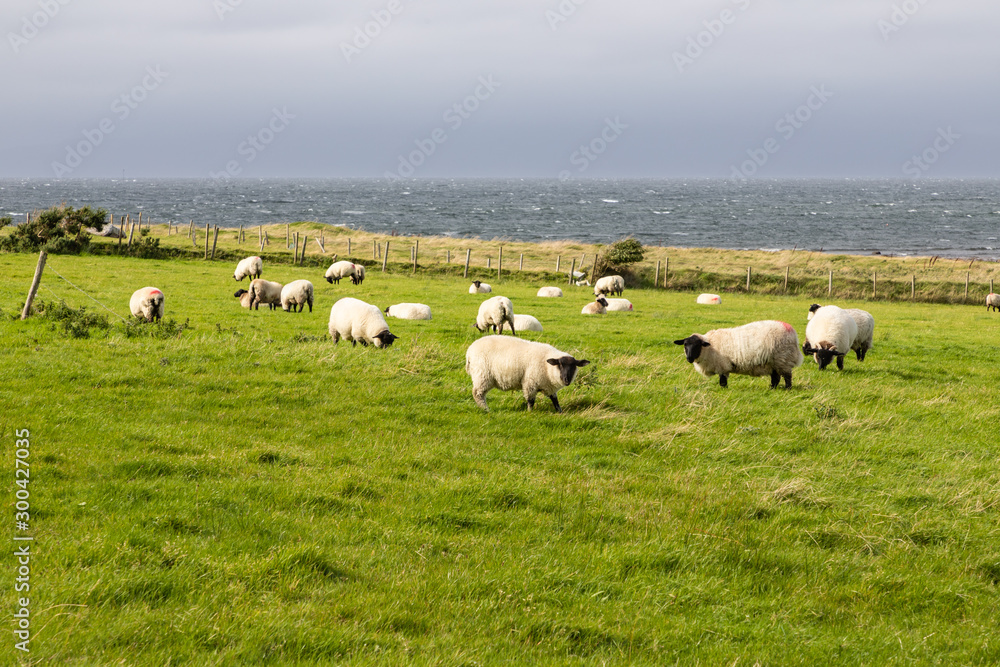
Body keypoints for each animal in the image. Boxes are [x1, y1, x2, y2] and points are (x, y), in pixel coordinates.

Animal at [672, 320, 804, 388]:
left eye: (697, 345)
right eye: (685, 345)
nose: (689, 358)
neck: (709, 347)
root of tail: (792, 331)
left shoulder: (722, 366)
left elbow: (723, 381)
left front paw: (723, 389)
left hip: (783, 358)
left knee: (787, 376)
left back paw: (787, 388)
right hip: (773, 361)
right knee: (775, 377)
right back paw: (772, 388)